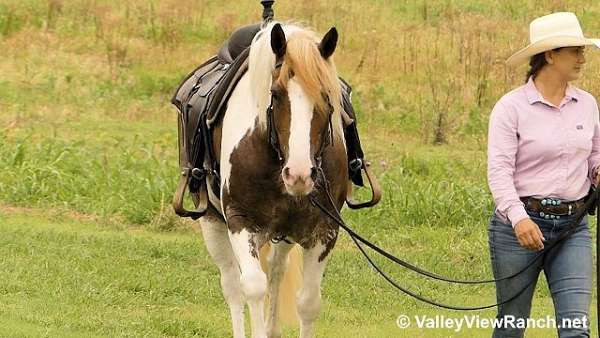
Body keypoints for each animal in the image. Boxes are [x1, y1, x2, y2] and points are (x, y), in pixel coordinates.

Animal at [199, 21, 350, 338]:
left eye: (326, 96)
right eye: (276, 94)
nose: (299, 174)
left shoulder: (325, 230)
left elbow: (308, 301)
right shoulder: (239, 220)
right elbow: (253, 287)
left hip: (284, 232)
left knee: (277, 269)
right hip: (212, 222)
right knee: (232, 285)